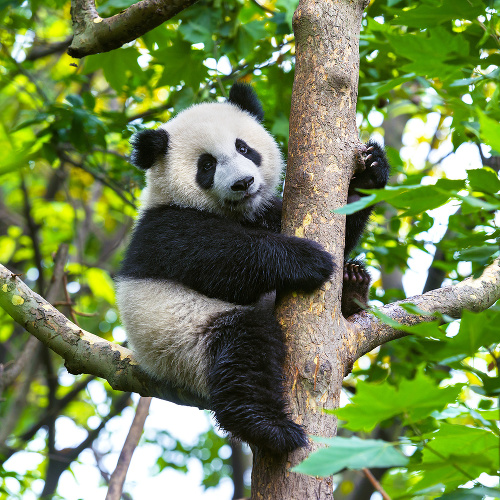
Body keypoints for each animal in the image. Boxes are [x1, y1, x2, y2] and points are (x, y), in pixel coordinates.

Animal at [117, 84, 390, 456]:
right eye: (207, 165)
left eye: (243, 148)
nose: (243, 182)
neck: (236, 213)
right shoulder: (164, 230)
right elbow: (223, 261)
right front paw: (307, 259)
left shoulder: (267, 211)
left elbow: (343, 226)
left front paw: (372, 170)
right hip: (182, 341)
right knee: (243, 350)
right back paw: (269, 427)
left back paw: (352, 287)